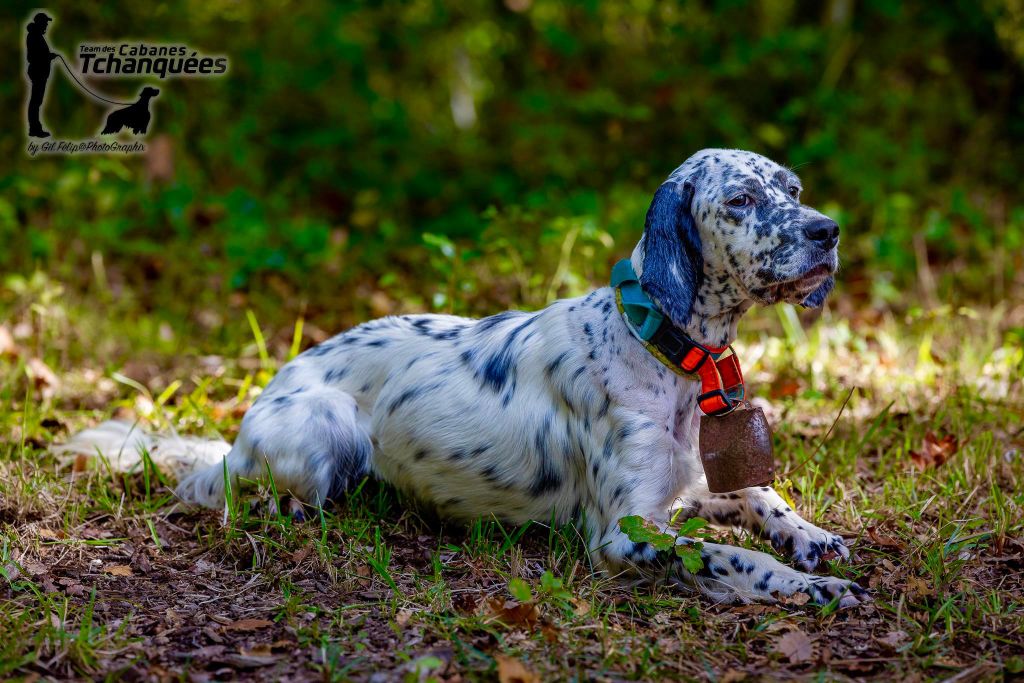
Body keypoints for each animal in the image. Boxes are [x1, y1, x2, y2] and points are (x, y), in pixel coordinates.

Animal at [64, 150, 864, 610]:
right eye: (742, 200)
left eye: (794, 188)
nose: (828, 230)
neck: (667, 352)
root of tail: (241, 432)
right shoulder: (621, 530)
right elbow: (733, 554)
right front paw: (810, 585)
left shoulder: (688, 487)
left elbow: (757, 497)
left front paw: (812, 539)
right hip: (323, 431)